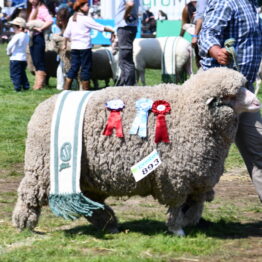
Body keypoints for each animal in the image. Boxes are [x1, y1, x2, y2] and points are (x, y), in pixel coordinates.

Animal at [12, 67, 260, 235]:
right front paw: (177, 229)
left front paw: (190, 222)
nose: (257, 102)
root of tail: (41, 108)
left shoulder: (199, 175)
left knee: (91, 202)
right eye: (233, 94)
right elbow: (177, 205)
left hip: (85, 174)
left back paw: (109, 223)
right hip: (44, 167)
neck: (191, 111)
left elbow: (195, 204)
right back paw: (24, 223)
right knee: (29, 193)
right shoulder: (176, 176)